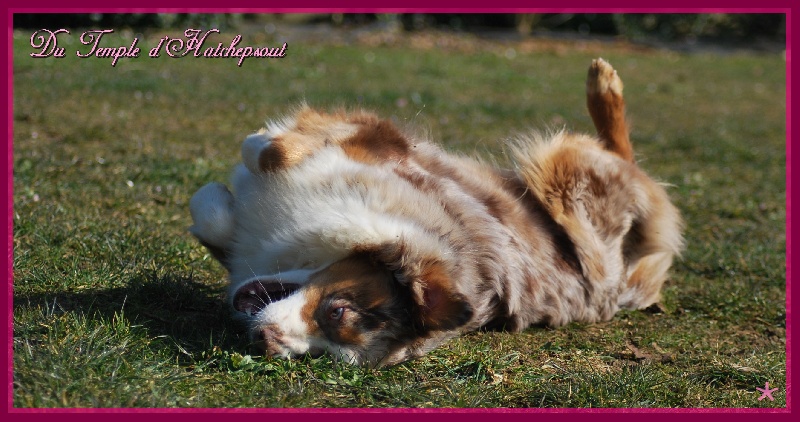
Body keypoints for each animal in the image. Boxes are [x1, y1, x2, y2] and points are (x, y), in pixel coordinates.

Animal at [188, 58, 680, 366]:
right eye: (337, 311)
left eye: (327, 339)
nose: (265, 341)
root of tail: (622, 286)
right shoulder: (377, 144)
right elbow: (256, 163)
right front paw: (233, 180)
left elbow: (255, 164)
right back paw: (603, 81)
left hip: (564, 179)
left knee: (625, 162)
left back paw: (604, 86)